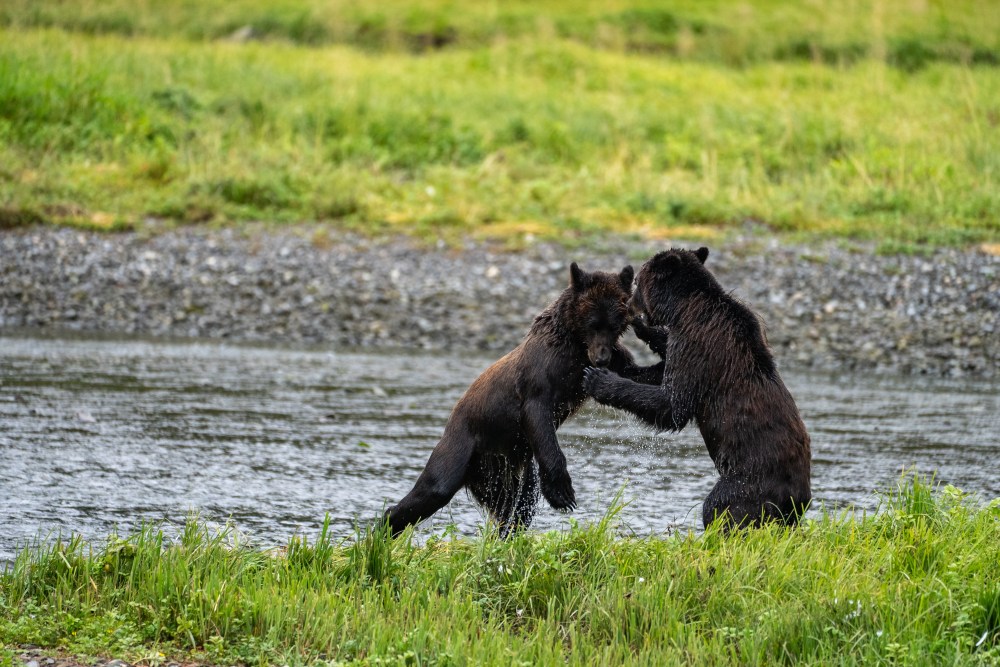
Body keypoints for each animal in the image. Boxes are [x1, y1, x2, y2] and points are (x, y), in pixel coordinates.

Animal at [384, 261, 662, 537]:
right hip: (464, 444)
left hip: (508, 467)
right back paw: (383, 528)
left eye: (615, 324)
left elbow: (635, 376)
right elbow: (538, 413)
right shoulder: (539, 378)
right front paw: (562, 493)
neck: (575, 346)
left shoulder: (606, 360)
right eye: (593, 323)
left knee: (517, 504)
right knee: (435, 488)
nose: (601, 358)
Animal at [583, 247, 811, 529]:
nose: (628, 306)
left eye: (637, 281)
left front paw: (598, 379)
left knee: (721, 508)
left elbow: (672, 404)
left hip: (749, 481)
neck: (682, 308)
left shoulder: (698, 342)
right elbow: (660, 373)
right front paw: (636, 343)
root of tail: (799, 498)